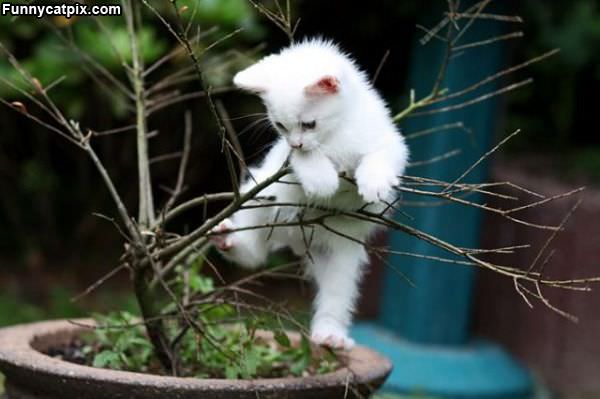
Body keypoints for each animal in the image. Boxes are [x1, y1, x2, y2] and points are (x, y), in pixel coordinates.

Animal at [211, 38, 408, 350]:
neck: (337, 132)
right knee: (253, 253)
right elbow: (306, 161)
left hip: (341, 255)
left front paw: (374, 183)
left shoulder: (389, 143)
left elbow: (379, 158)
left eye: (309, 124)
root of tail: (294, 238)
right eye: (280, 126)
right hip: (259, 200)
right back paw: (226, 239)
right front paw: (323, 180)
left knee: (335, 296)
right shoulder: (287, 162)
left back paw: (330, 334)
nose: (297, 142)